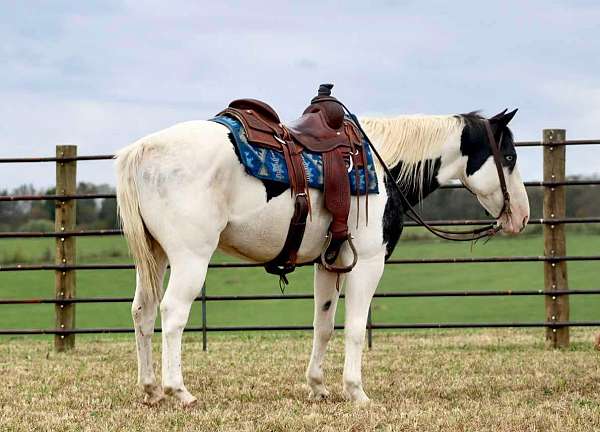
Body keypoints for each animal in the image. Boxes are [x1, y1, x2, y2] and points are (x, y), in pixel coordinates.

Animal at [115, 107, 528, 404]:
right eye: (508, 156)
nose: (521, 217)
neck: (382, 168)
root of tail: (143, 150)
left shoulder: (329, 263)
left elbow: (324, 325)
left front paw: (318, 386)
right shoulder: (369, 261)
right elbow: (356, 328)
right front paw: (357, 392)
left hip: (155, 256)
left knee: (142, 312)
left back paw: (151, 389)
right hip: (191, 257)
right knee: (172, 314)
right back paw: (179, 391)